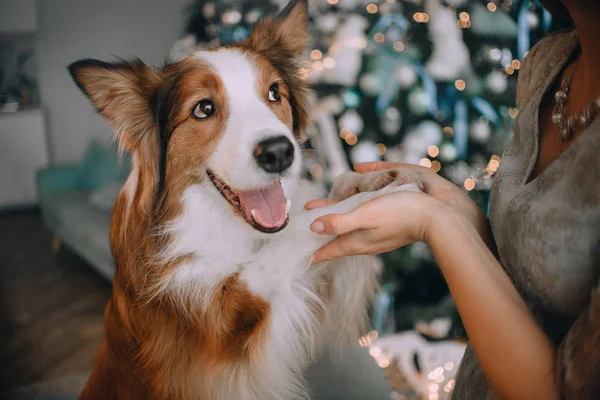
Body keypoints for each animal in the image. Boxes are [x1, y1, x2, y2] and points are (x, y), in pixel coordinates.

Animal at [69, 1, 418, 398]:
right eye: (203, 109)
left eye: (274, 93)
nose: (280, 153)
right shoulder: (226, 323)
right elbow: (298, 231)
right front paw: (385, 197)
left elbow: (324, 197)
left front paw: (373, 178)